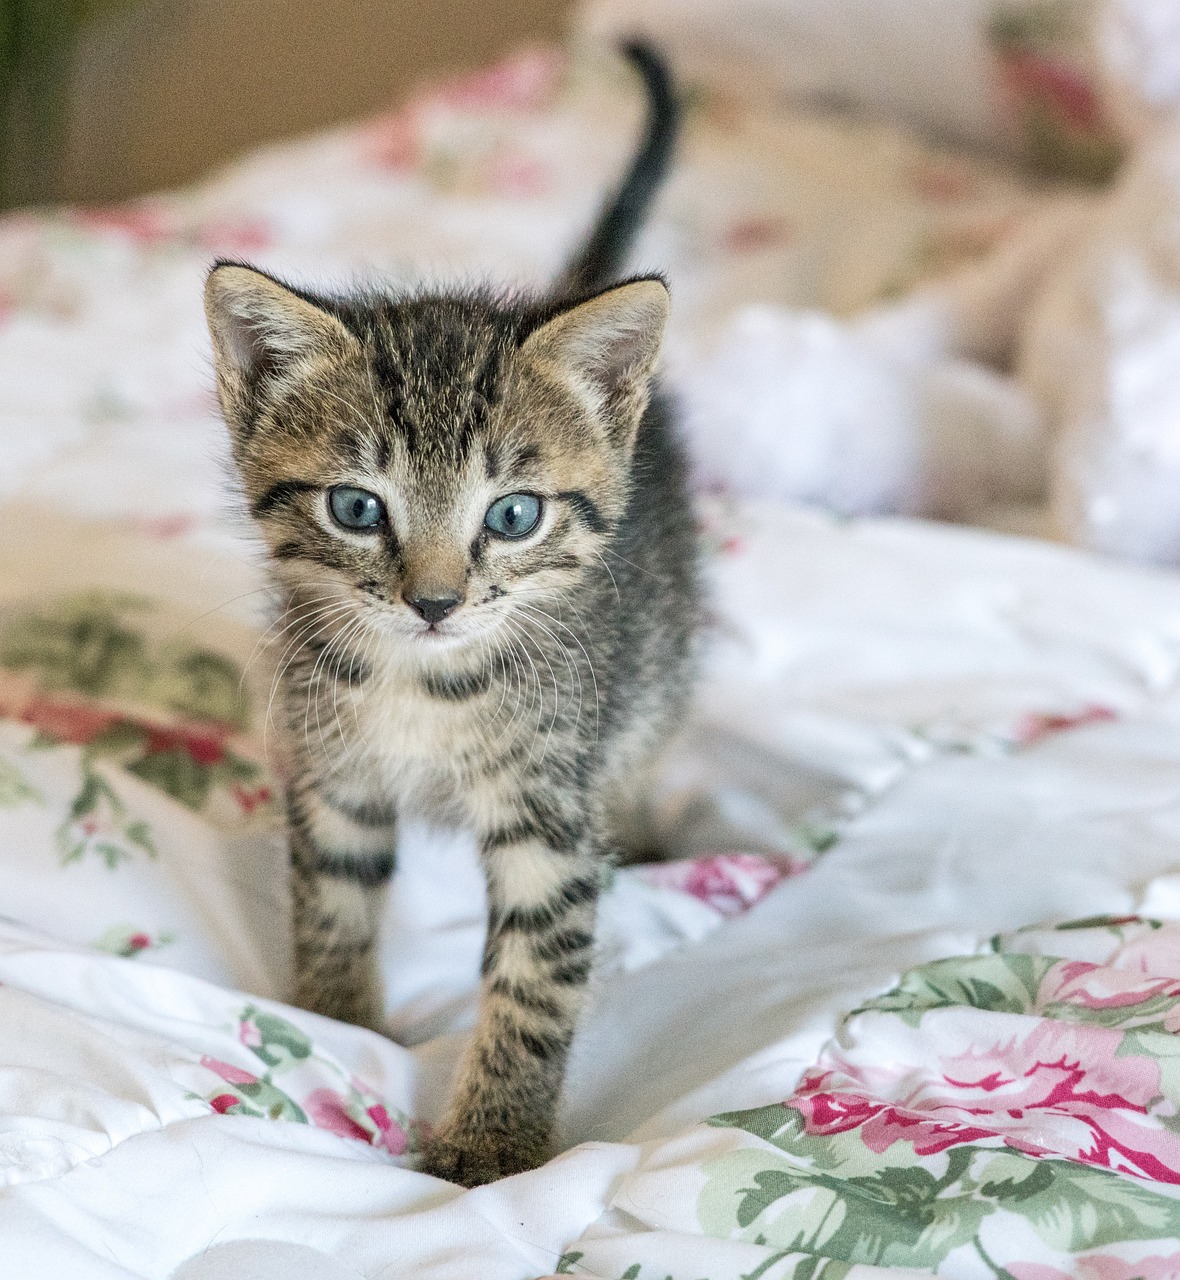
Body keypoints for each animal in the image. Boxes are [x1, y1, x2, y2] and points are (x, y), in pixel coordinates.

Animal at [202, 45, 701, 1182]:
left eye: (512, 515)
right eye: (355, 507)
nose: (433, 600)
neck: (422, 682)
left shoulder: (549, 812)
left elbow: (531, 980)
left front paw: (493, 1144)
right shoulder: (332, 771)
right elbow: (332, 902)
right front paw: (337, 1020)